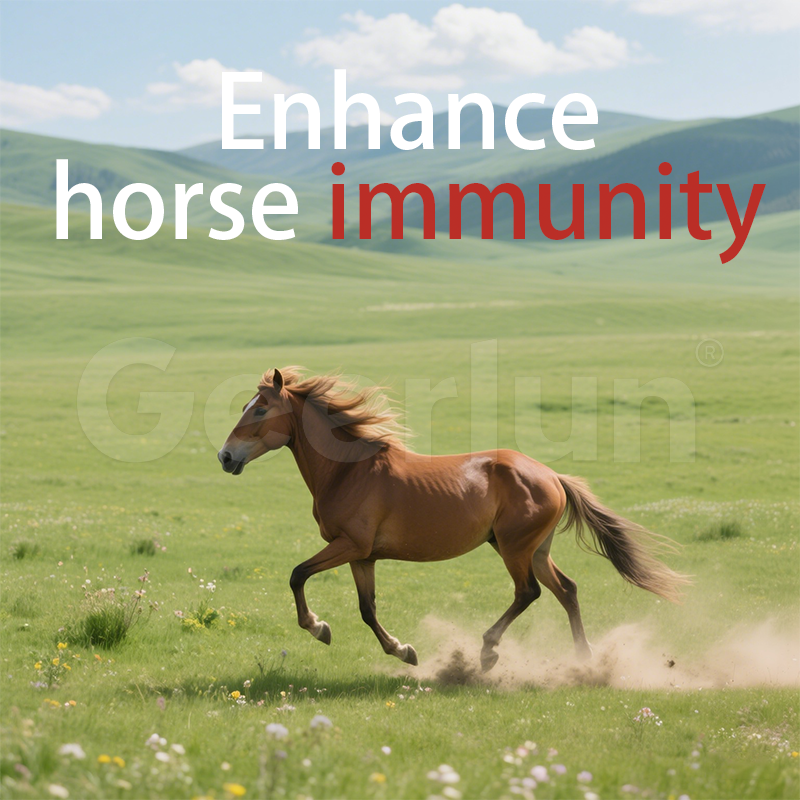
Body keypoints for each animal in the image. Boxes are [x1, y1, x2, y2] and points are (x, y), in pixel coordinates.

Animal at [218, 367, 689, 671]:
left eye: (259, 411)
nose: (224, 456)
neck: (349, 471)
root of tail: (553, 476)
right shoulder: (363, 555)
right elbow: (367, 609)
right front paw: (404, 651)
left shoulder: (349, 545)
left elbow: (298, 574)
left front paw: (318, 628)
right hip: (533, 548)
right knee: (566, 590)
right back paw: (585, 659)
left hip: (514, 548)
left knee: (529, 592)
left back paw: (488, 651)